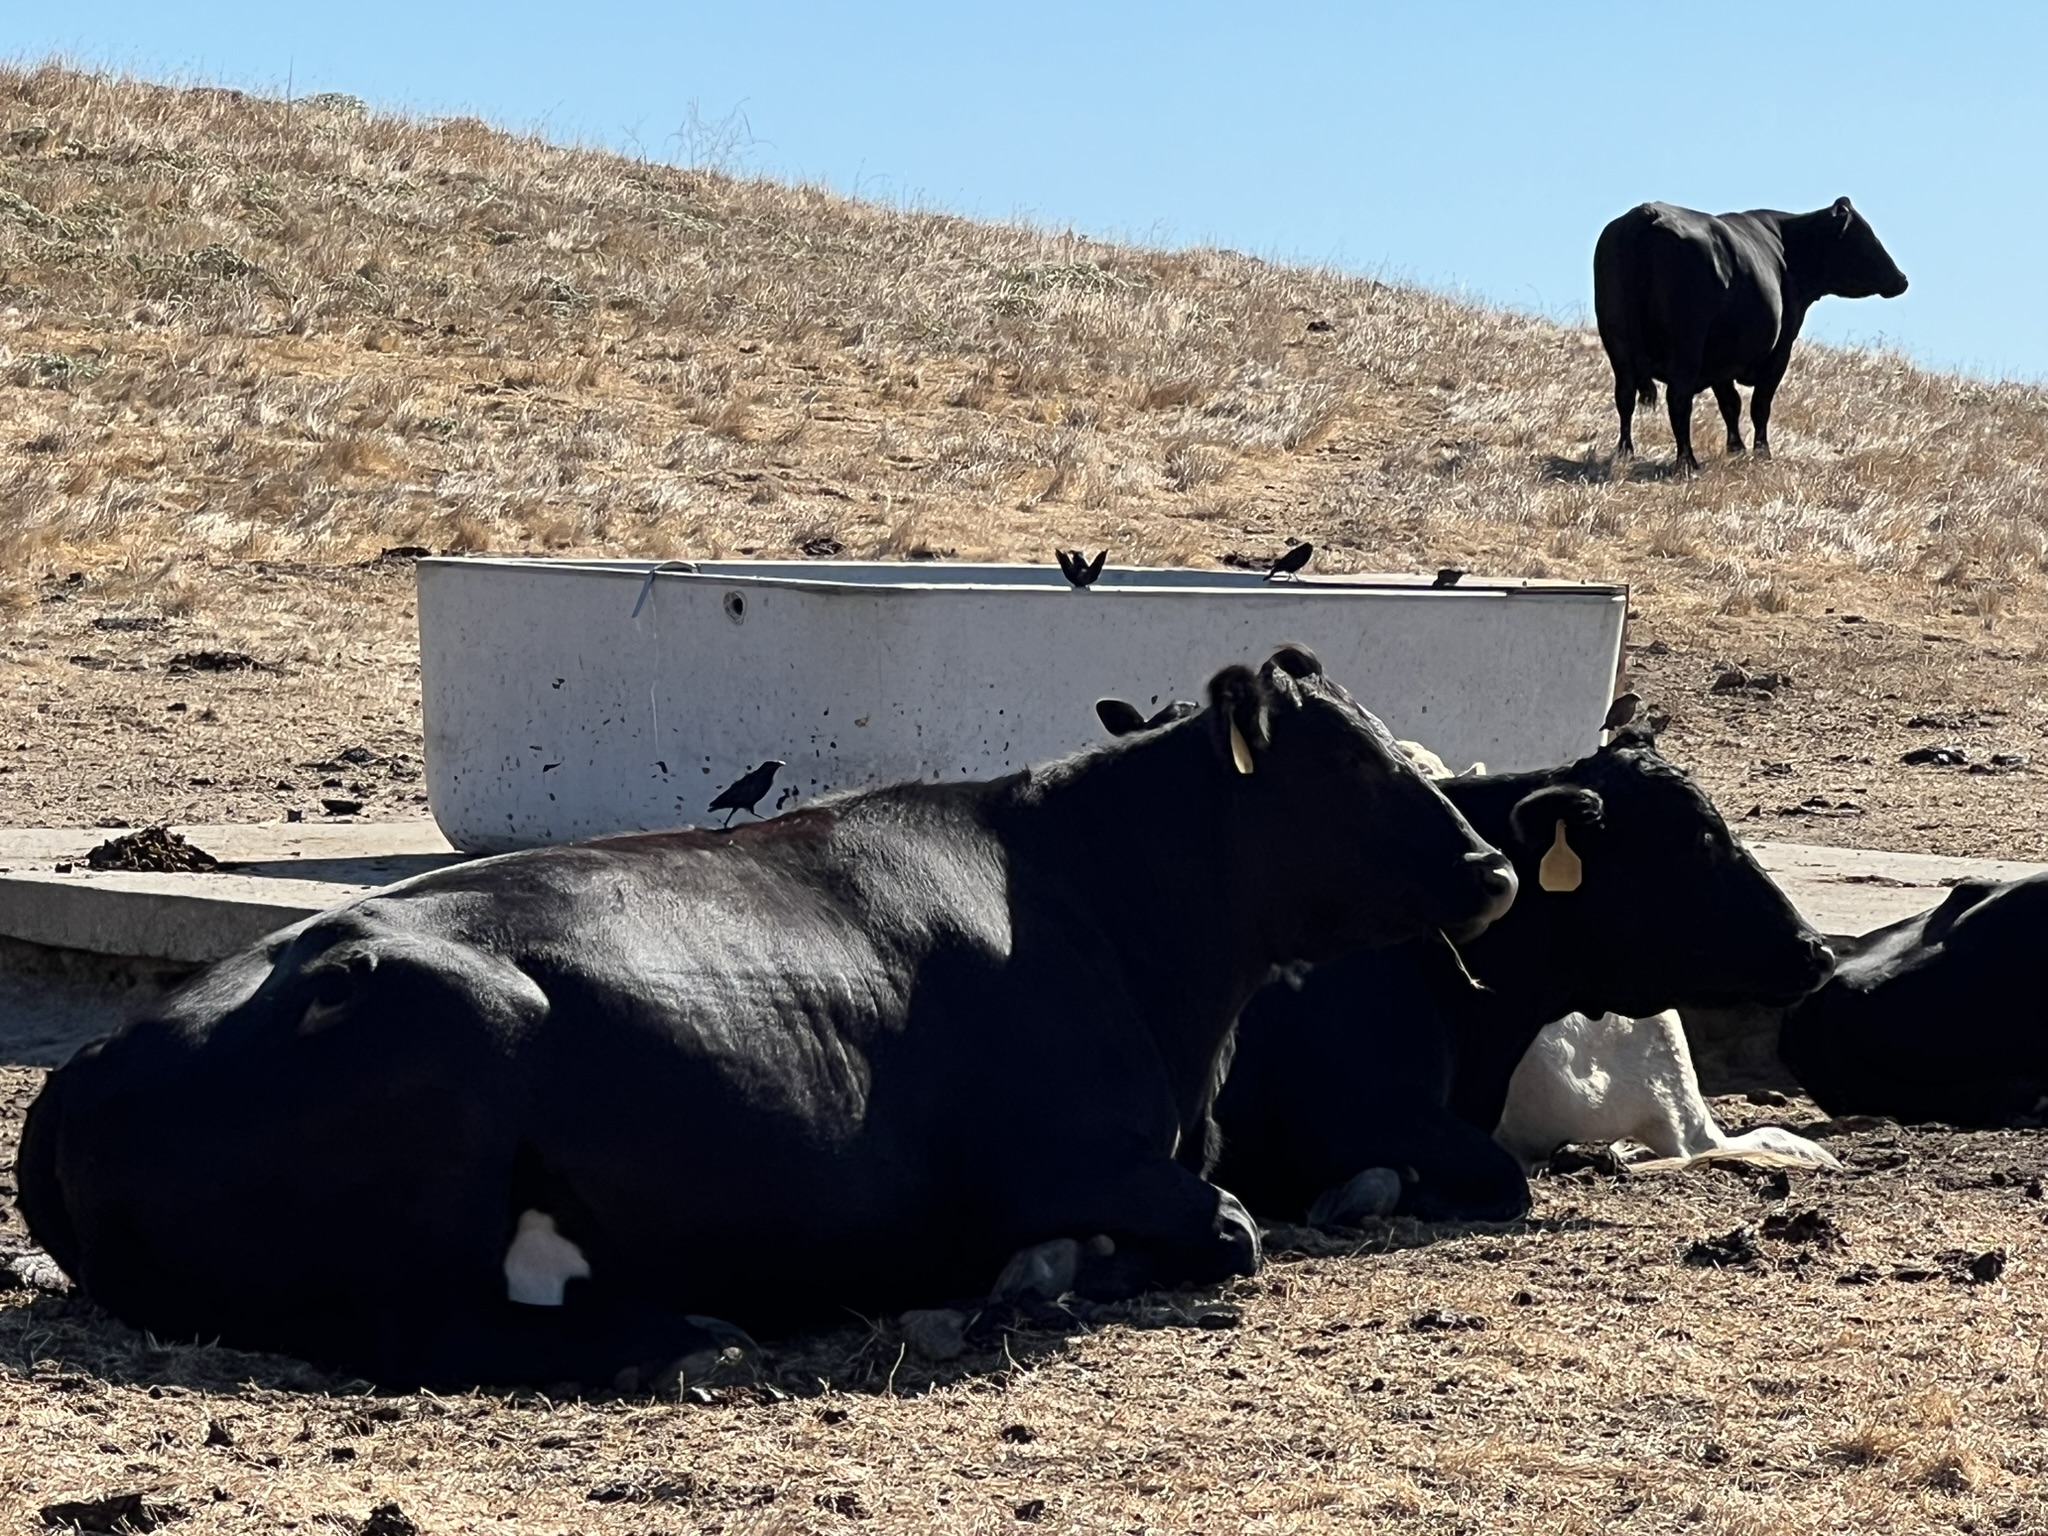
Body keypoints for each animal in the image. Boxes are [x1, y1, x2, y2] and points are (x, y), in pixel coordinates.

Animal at [19, 643, 1523, 1392]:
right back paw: (683, 1342)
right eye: (1348, 764)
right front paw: (1036, 1273)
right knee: (428, 1333)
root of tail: (85, 1075)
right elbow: (1230, 1229)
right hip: (444, 1074)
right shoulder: (1065, 1156)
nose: (1492, 868)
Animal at [1589, 199, 1908, 475]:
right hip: (1686, 345)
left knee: (1625, 396)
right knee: (1678, 399)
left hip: (1617, 340)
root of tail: (1646, 213)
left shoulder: (1720, 360)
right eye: (1864, 237)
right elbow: (1759, 406)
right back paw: (1688, 462)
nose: (1901, 279)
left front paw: (1737, 449)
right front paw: (1762, 453)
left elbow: (1730, 404)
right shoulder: (1779, 351)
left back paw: (1625, 452)